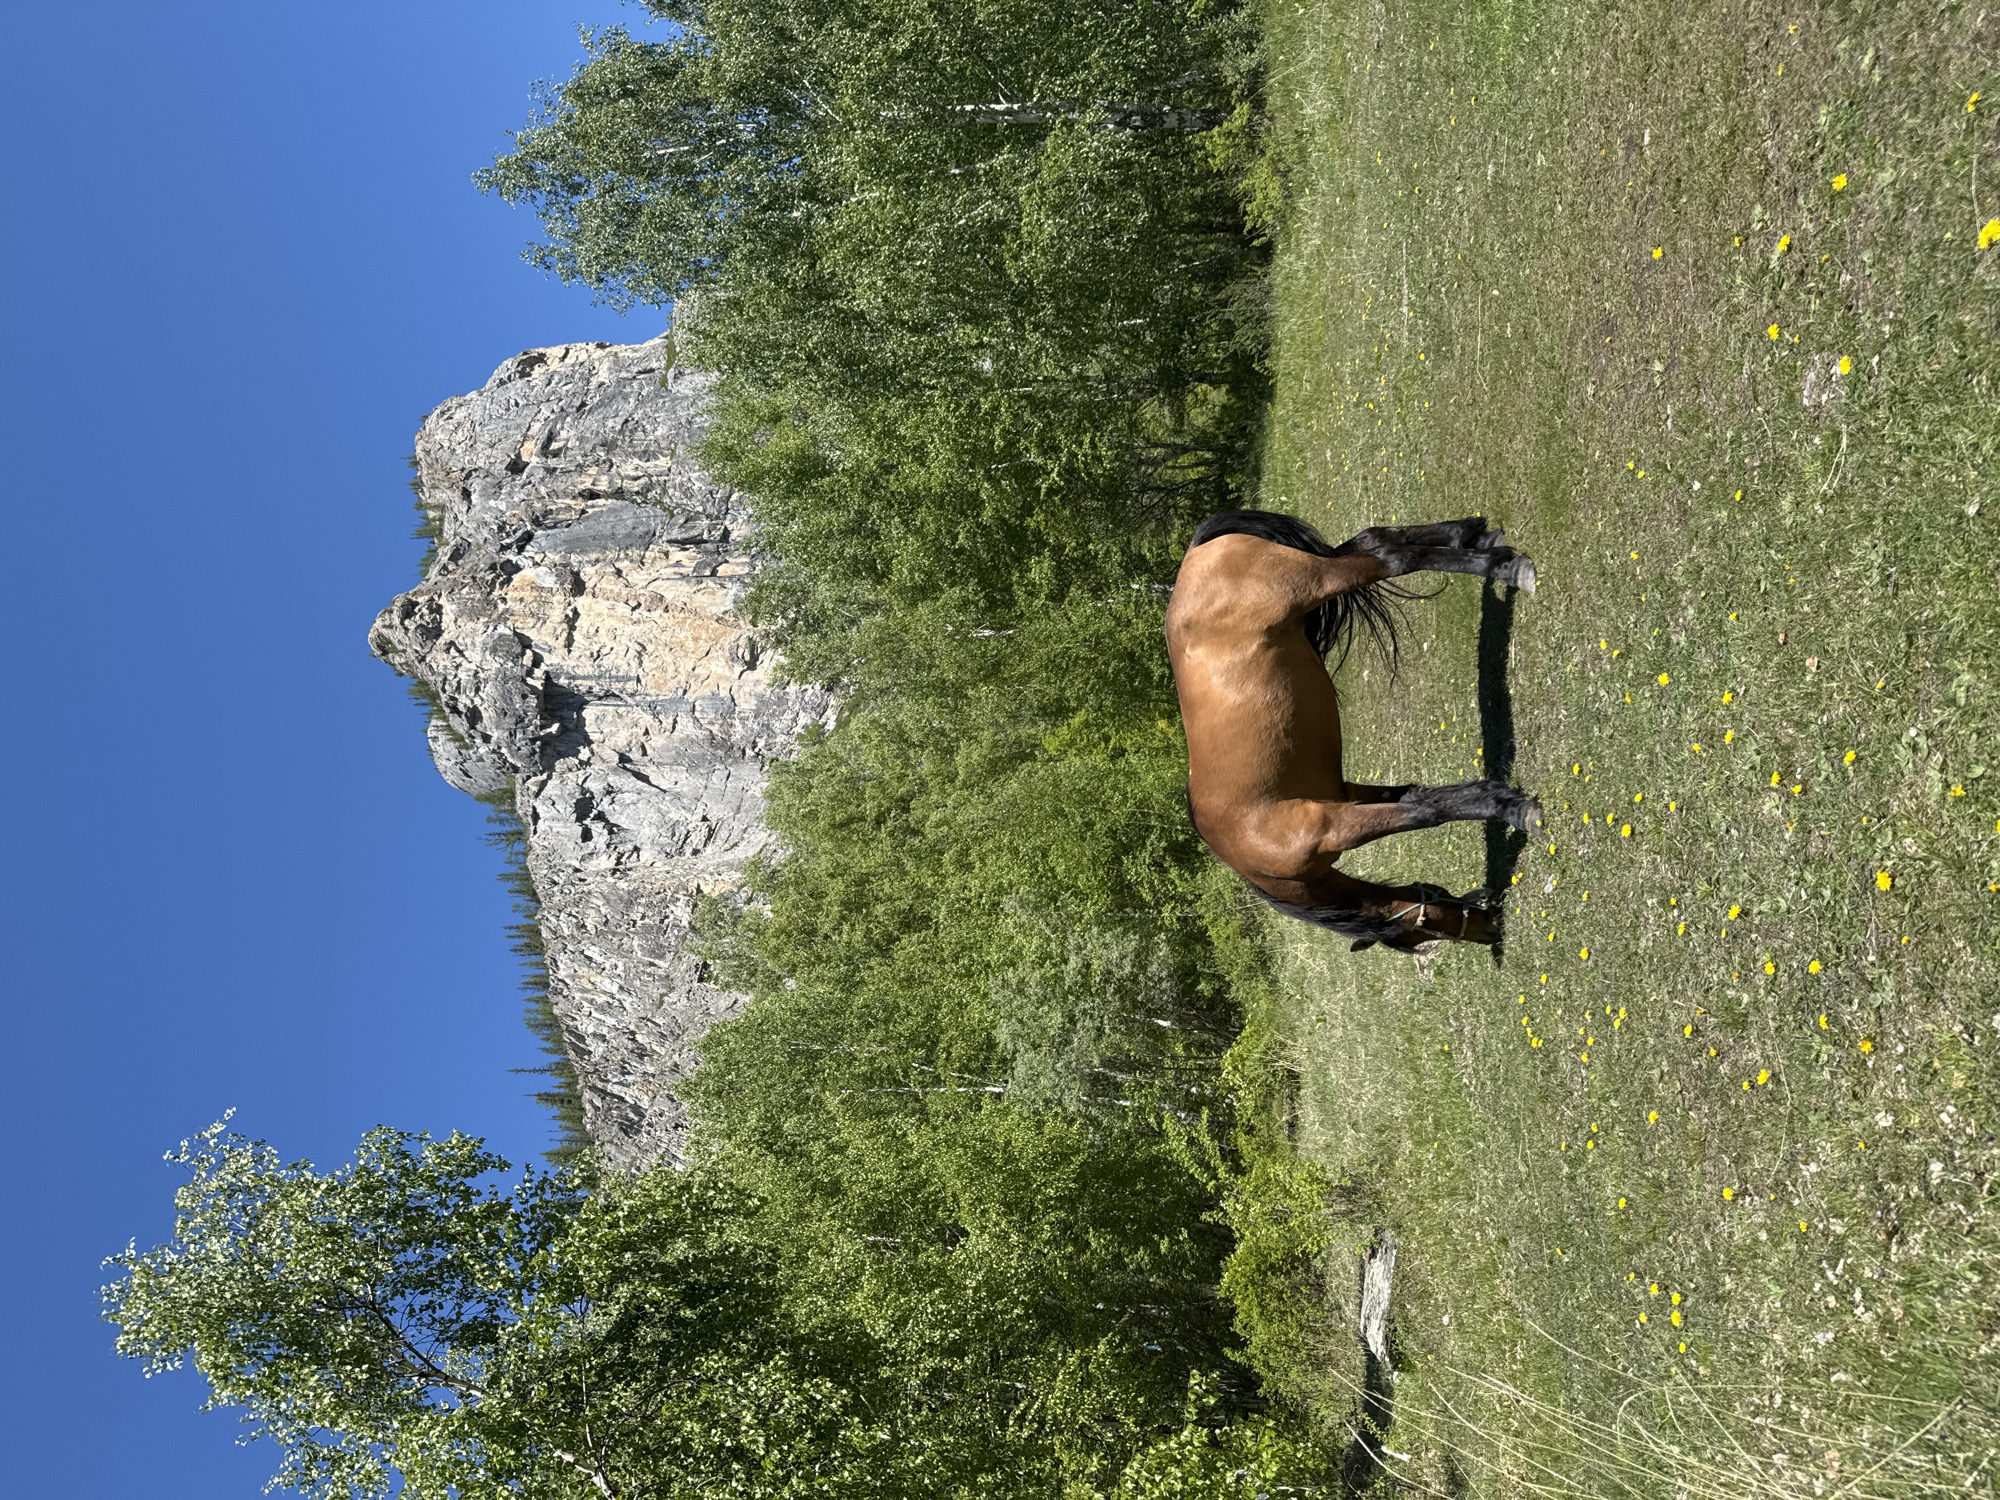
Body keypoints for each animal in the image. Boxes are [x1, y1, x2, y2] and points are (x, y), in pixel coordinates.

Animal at [1165, 510, 1545, 953]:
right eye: (1423, 930)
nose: (1490, 929)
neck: (1262, 856)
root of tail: (1195, 554)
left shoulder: (1334, 827)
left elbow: (1422, 812)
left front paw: (1514, 810)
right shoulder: (1345, 798)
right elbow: (1421, 798)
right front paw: (1499, 797)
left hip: (1313, 581)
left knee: (1391, 558)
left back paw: (1505, 567)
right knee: (1372, 540)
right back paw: (1474, 536)